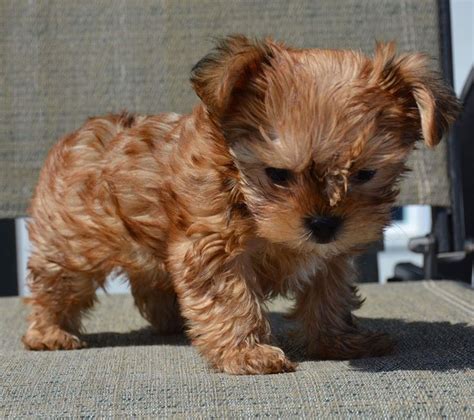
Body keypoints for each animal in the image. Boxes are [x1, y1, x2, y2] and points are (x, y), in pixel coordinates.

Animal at [23, 36, 460, 376]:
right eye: (278, 174)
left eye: (366, 173)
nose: (323, 224)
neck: (245, 195)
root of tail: (75, 137)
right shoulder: (213, 246)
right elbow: (231, 299)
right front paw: (245, 352)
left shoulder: (332, 257)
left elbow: (329, 296)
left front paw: (337, 341)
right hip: (74, 245)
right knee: (55, 286)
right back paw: (48, 332)